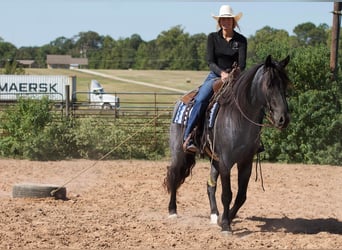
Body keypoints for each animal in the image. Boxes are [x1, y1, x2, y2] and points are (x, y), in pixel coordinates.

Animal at [164, 55, 290, 234]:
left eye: (285, 84)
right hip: (179, 151)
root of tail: (181, 101)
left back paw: (214, 215)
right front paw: (225, 225)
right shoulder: (225, 162)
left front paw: (226, 218)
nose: (283, 119)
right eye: (269, 84)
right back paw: (173, 211)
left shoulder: (245, 162)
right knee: (174, 174)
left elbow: (241, 196)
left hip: (214, 159)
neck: (238, 117)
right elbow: (227, 194)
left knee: (210, 185)